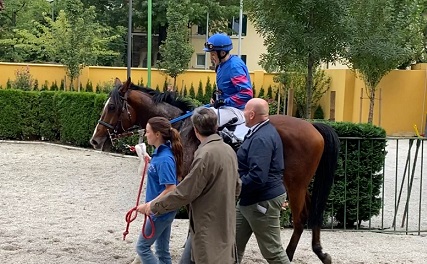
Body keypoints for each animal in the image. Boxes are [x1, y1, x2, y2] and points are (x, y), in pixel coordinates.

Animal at [91, 77, 342, 262]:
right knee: (311, 211)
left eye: (111, 106)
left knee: (300, 219)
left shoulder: (187, 180)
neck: (182, 127)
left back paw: (290, 255)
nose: (95, 139)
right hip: (300, 184)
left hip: (295, 184)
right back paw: (320, 251)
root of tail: (312, 126)